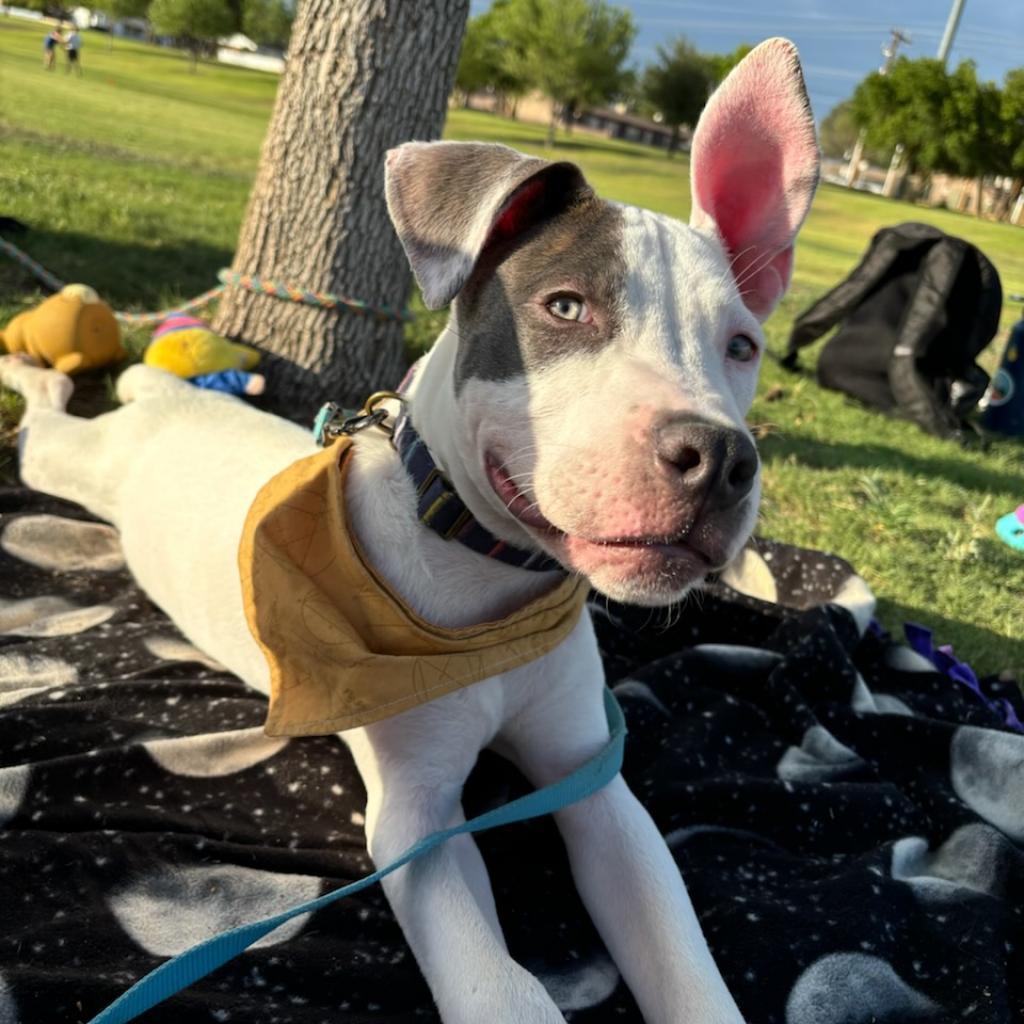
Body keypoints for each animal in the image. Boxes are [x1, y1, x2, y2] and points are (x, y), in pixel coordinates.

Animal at [0, 36, 815, 1024]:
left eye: (742, 347)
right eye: (566, 307)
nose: (720, 456)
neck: (490, 580)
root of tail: (173, 403)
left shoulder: (594, 777)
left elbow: (676, 951)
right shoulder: (418, 818)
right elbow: (502, 987)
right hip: (72, 462)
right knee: (48, 415)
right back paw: (29, 366)